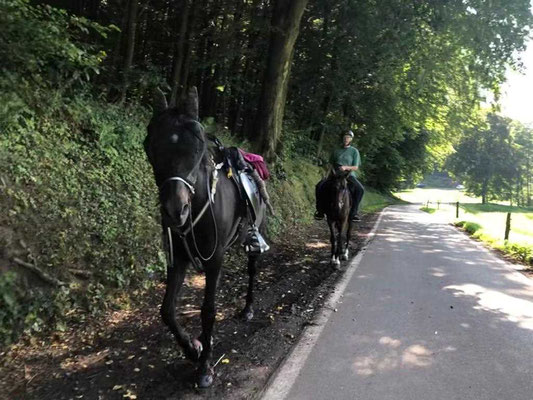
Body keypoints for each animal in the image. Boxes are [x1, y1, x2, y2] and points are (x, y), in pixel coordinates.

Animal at [143, 88, 266, 388]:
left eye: (198, 147)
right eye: (150, 146)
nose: (175, 211)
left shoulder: (215, 258)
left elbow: (208, 310)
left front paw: (205, 366)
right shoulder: (179, 258)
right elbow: (167, 310)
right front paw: (192, 348)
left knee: (252, 271)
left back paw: (248, 308)